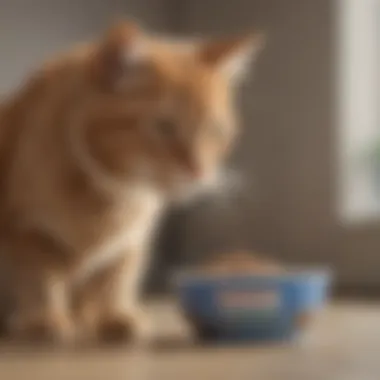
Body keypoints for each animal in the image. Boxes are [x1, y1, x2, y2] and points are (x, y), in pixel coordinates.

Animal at [0, 19, 264, 342]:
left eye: (214, 130)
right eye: (164, 126)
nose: (198, 171)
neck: (118, 195)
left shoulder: (130, 242)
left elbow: (116, 281)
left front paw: (113, 317)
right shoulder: (26, 233)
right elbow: (39, 282)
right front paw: (43, 320)